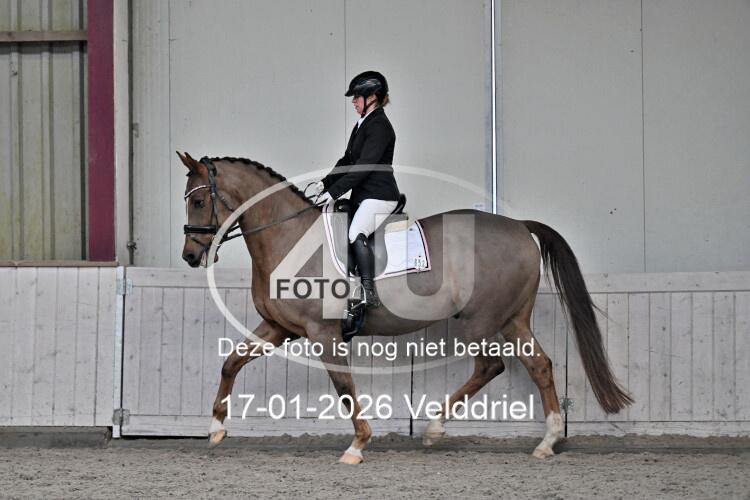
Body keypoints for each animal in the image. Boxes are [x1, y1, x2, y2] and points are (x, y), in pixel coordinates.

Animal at [178, 151, 632, 464]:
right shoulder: (278, 327)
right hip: (513, 319)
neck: (288, 237)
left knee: (490, 366)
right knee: (540, 366)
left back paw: (434, 428)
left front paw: (358, 445)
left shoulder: (323, 333)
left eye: (198, 203)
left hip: (480, 320)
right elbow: (231, 363)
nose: (189, 256)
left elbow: (344, 388)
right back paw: (547, 441)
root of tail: (520, 226)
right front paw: (215, 429)